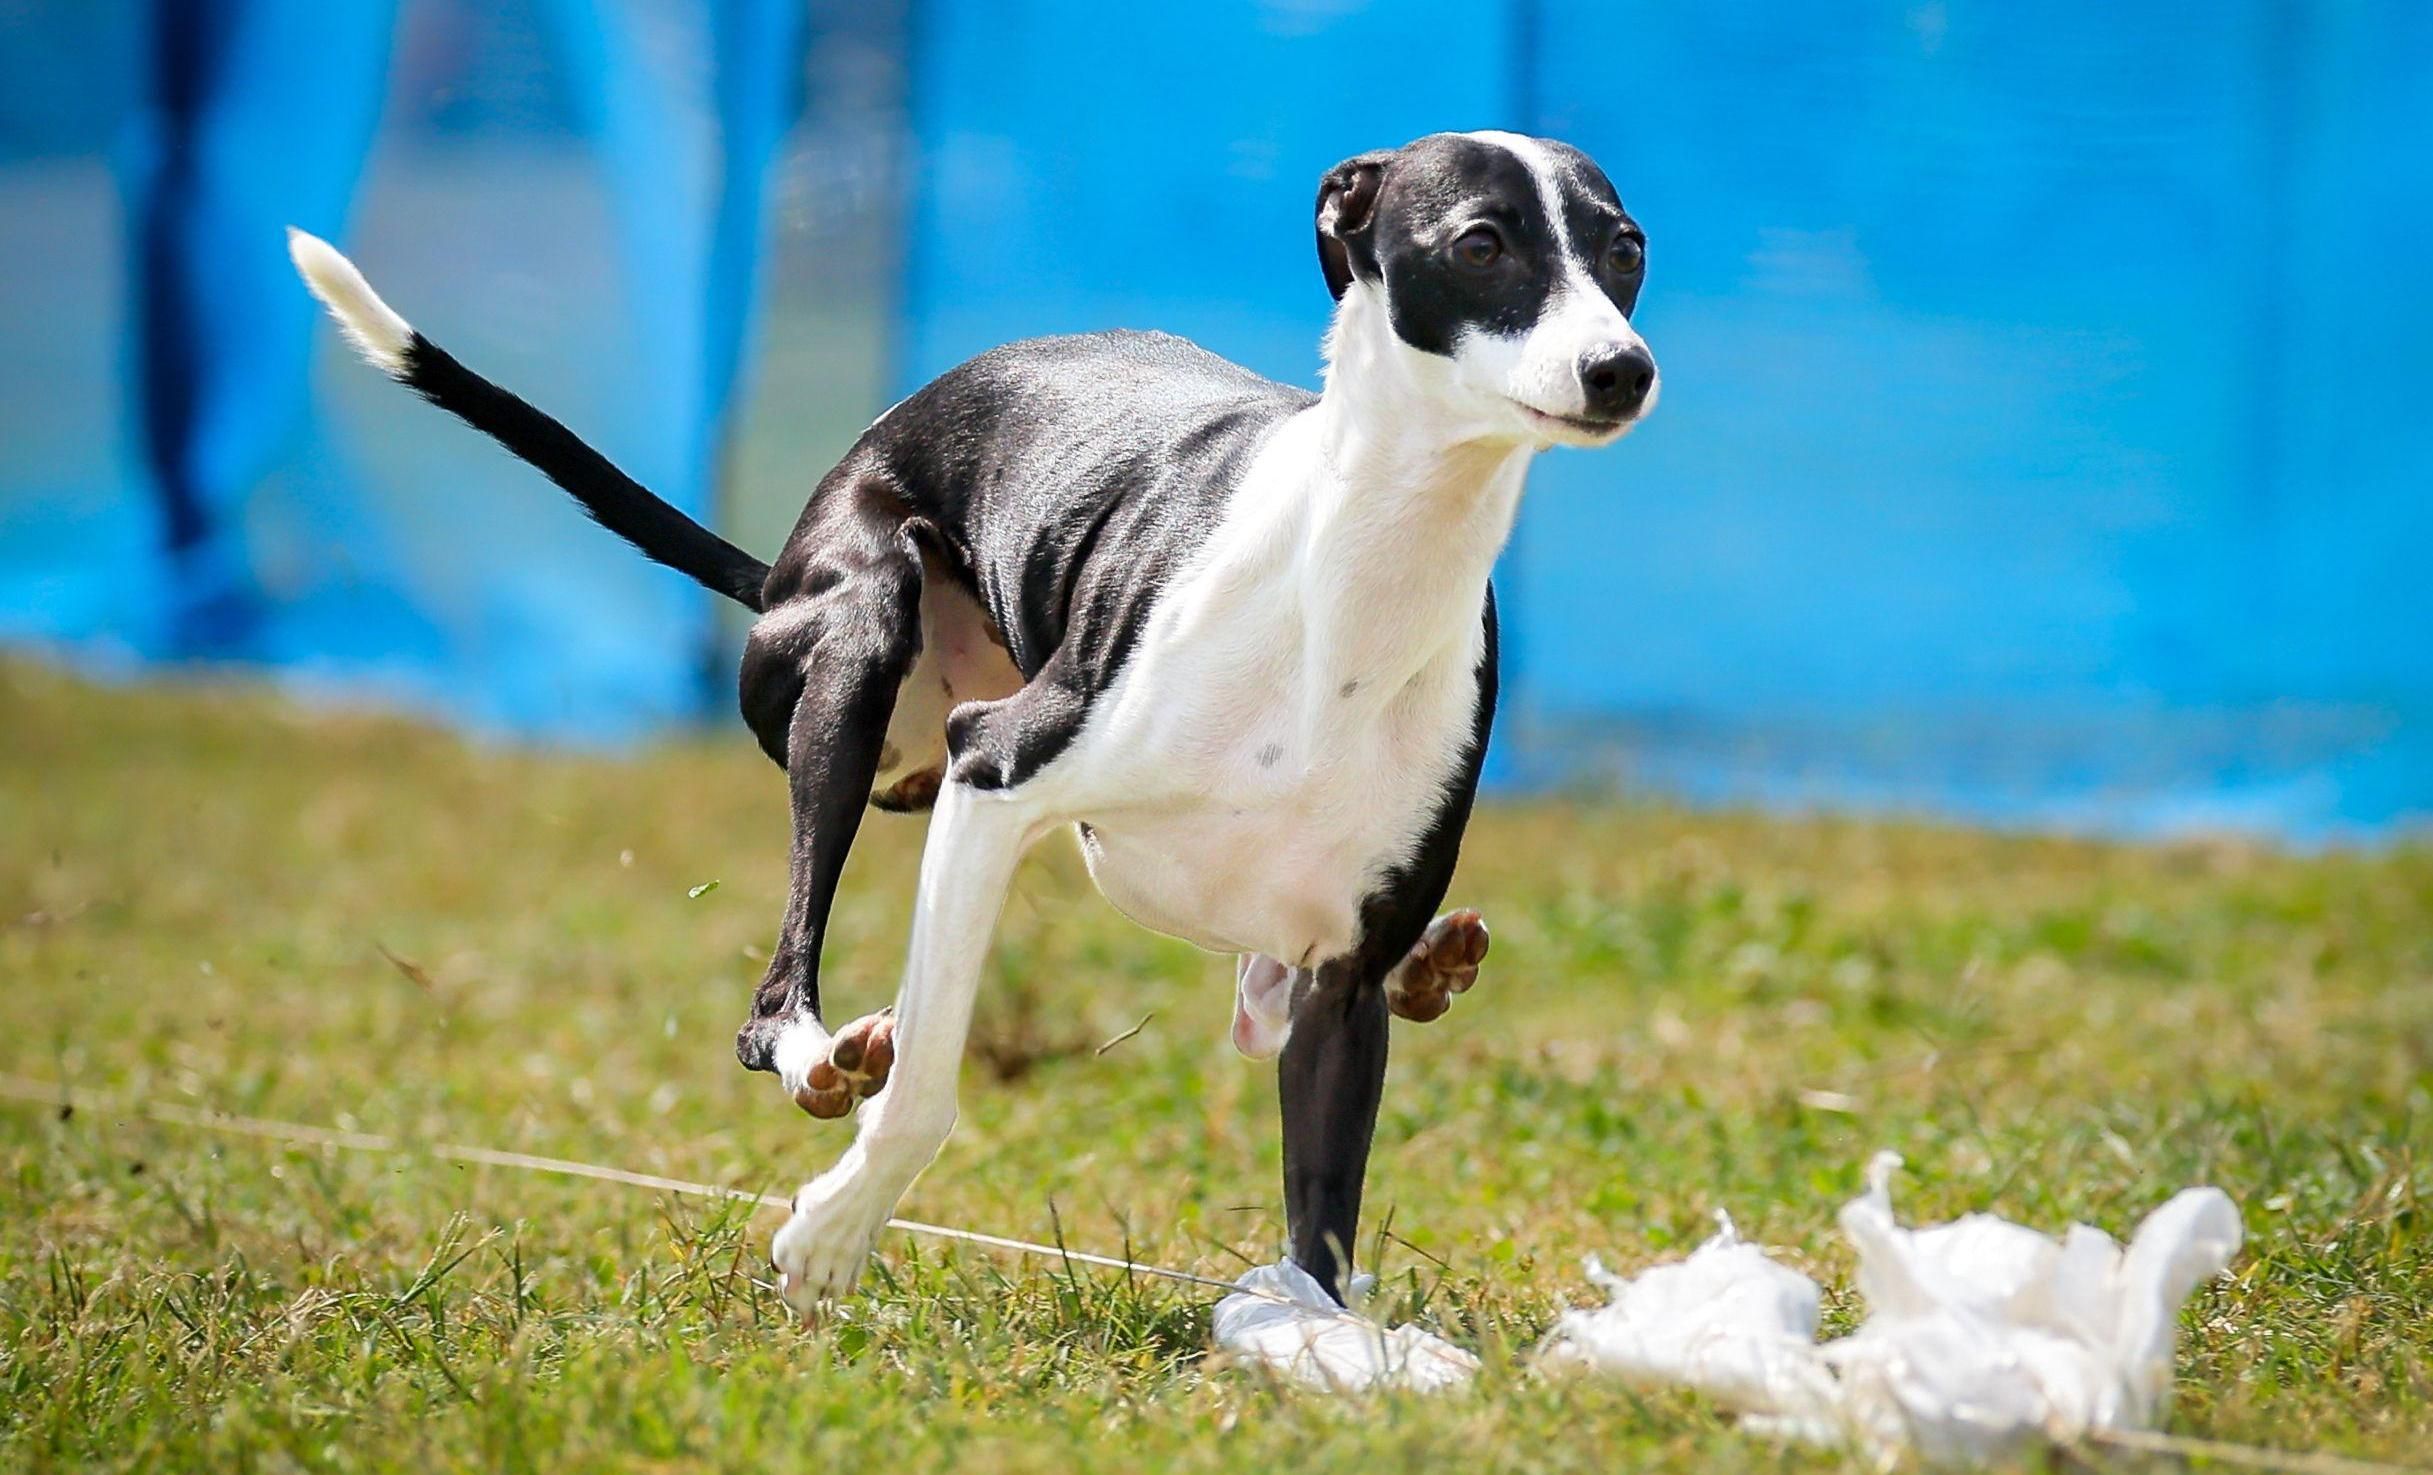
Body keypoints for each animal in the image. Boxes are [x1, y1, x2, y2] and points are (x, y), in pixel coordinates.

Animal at [284, 132, 1654, 1324]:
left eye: (1625, 248)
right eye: (1482, 243)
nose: (1622, 369)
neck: (1354, 576)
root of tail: (780, 570)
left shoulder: (1341, 978)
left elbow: (1323, 1207)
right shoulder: (993, 777)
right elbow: (931, 1084)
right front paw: (835, 1233)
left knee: (1264, 980)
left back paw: (1427, 963)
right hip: (858, 650)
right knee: (778, 989)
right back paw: (817, 1054)